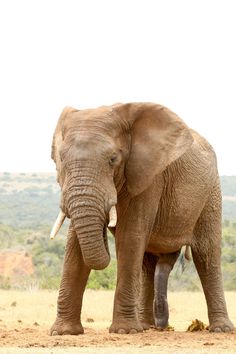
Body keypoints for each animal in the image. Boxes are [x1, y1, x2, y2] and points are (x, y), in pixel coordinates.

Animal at [49, 101, 234, 334]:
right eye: (61, 159)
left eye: (113, 159)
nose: (105, 227)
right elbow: (74, 245)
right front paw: (64, 332)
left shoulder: (149, 177)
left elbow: (130, 237)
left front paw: (124, 331)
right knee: (148, 262)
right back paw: (147, 327)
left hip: (211, 193)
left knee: (206, 254)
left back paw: (221, 329)